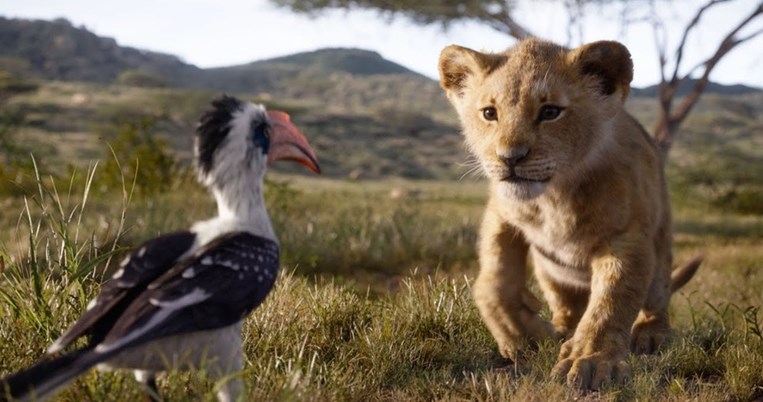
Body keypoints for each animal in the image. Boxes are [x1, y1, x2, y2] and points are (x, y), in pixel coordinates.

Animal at [438, 38, 702, 390]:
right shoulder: (501, 212)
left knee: (655, 299)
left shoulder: (626, 238)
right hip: (550, 273)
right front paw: (519, 332)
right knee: (567, 307)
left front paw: (591, 361)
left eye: (550, 112)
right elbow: (493, 281)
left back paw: (649, 335)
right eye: (489, 113)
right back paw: (559, 330)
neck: (554, 196)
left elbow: (611, 302)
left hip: (660, 255)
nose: (510, 158)